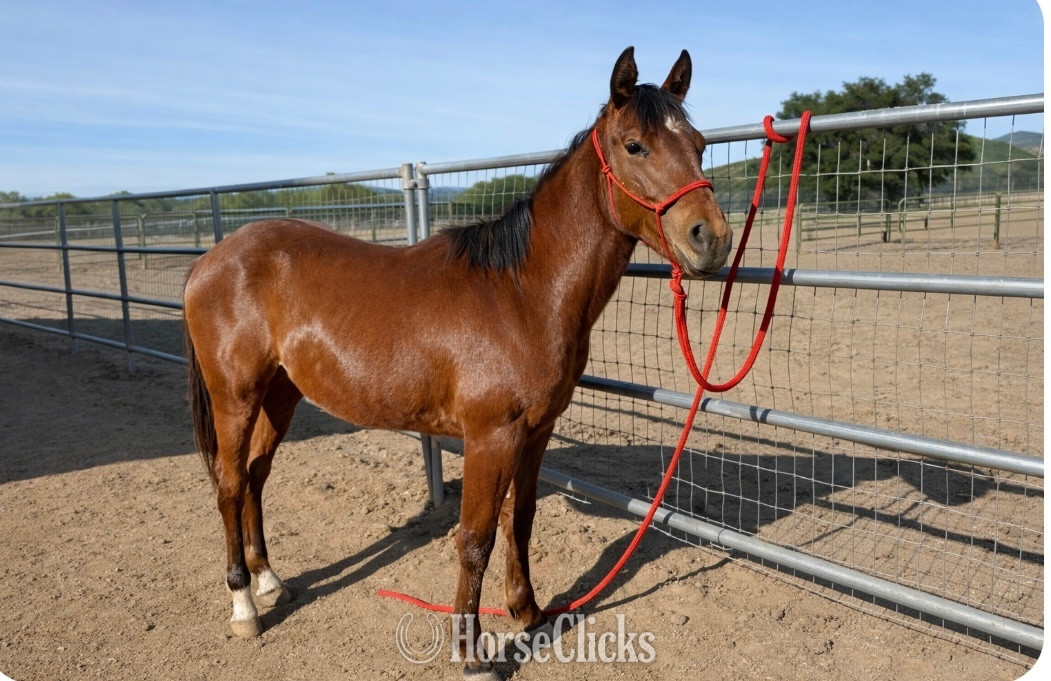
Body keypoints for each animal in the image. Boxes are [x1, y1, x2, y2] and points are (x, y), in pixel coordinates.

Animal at [182, 46, 730, 678]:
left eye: (700, 144)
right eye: (635, 145)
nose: (712, 239)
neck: (521, 293)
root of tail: (209, 261)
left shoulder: (536, 432)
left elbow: (521, 521)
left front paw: (528, 613)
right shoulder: (490, 437)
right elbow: (475, 538)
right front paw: (472, 654)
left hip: (280, 394)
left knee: (254, 477)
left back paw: (271, 581)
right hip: (236, 397)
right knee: (228, 483)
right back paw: (244, 604)